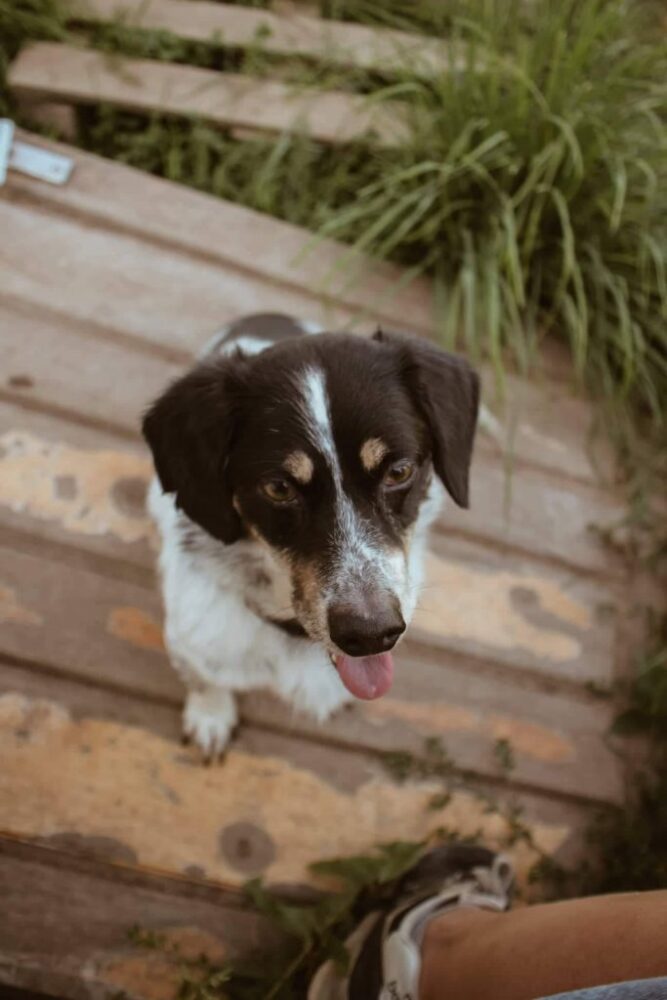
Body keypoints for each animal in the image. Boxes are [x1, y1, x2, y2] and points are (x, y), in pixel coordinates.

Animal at [143, 314, 479, 759]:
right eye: (279, 488)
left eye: (400, 471)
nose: (371, 635)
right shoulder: (192, 642)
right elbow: (206, 681)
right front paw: (211, 717)